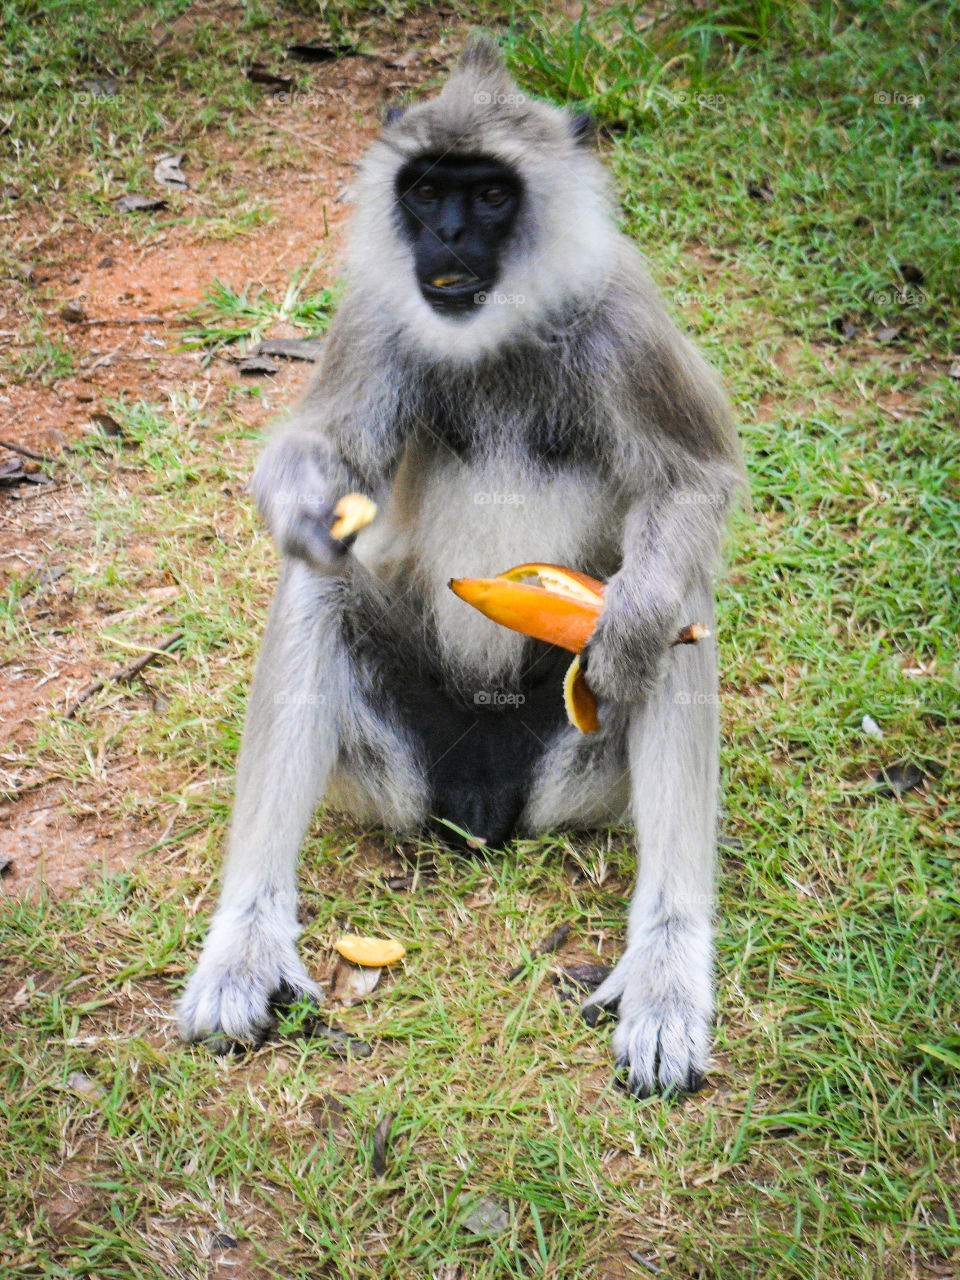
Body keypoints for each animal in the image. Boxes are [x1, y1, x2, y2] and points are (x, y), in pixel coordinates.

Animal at [176, 35, 744, 1098]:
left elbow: (693, 485)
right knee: (317, 584)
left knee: (673, 600)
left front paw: (631, 622)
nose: (442, 234)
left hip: (575, 771)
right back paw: (247, 941)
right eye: (428, 188)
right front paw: (304, 504)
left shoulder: (622, 314)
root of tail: (479, 797)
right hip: (392, 768)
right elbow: (322, 464)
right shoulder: (377, 313)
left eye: (488, 195)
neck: (499, 333)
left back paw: (665, 967)